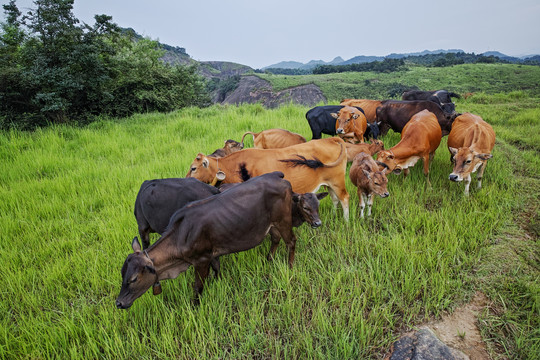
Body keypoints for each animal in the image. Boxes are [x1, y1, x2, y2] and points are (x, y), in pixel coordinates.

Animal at [116, 173, 326, 308]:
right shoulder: (212, 253)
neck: (180, 234)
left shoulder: (200, 260)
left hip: (283, 222)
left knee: (291, 241)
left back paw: (289, 266)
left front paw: (195, 305)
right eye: (122, 274)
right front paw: (218, 282)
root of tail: (280, 177)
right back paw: (269, 259)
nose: (119, 303)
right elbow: (217, 268)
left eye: (134, 279)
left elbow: (198, 286)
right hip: (272, 225)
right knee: (276, 240)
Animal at [186, 136, 350, 218]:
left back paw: (346, 221)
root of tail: (331, 139)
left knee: (344, 199)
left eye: (193, 168)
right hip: (328, 183)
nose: (187, 179)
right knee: (335, 199)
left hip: (338, 181)